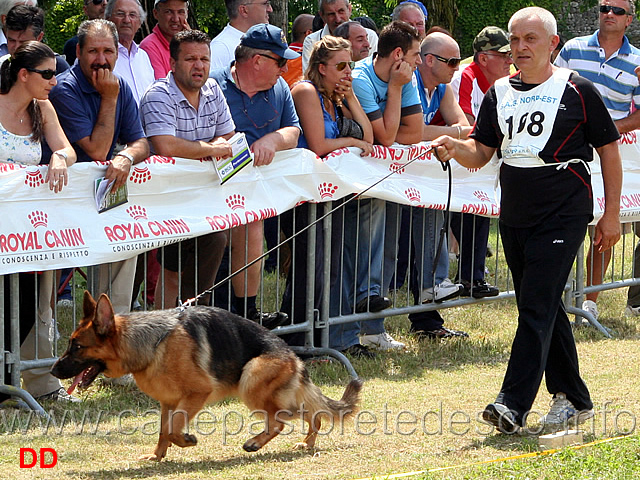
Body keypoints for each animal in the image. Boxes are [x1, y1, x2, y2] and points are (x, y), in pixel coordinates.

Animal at [51, 292, 360, 462]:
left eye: (76, 347)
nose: (53, 371)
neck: (152, 343)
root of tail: (293, 356)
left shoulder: (196, 394)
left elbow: (173, 429)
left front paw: (187, 441)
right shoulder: (167, 401)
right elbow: (164, 429)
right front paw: (157, 456)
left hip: (251, 378)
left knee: (283, 418)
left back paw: (255, 442)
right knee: (310, 414)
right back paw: (307, 443)